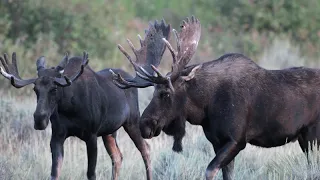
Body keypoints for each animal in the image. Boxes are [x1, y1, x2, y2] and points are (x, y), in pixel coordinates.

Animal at [0, 20, 172, 180]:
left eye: (54, 89)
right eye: (35, 89)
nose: (39, 119)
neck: (69, 108)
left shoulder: (91, 135)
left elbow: (91, 173)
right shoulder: (57, 136)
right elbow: (54, 173)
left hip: (133, 122)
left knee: (145, 149)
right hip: (110, 132)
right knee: (117, 157)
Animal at [110, 15, 320, 180]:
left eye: (165, 93)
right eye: (154, 92)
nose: (144, 125)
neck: (206, 107)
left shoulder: (237, 140)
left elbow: (209, 171)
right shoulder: (217, 141)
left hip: (312, 134)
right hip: (304, 138)